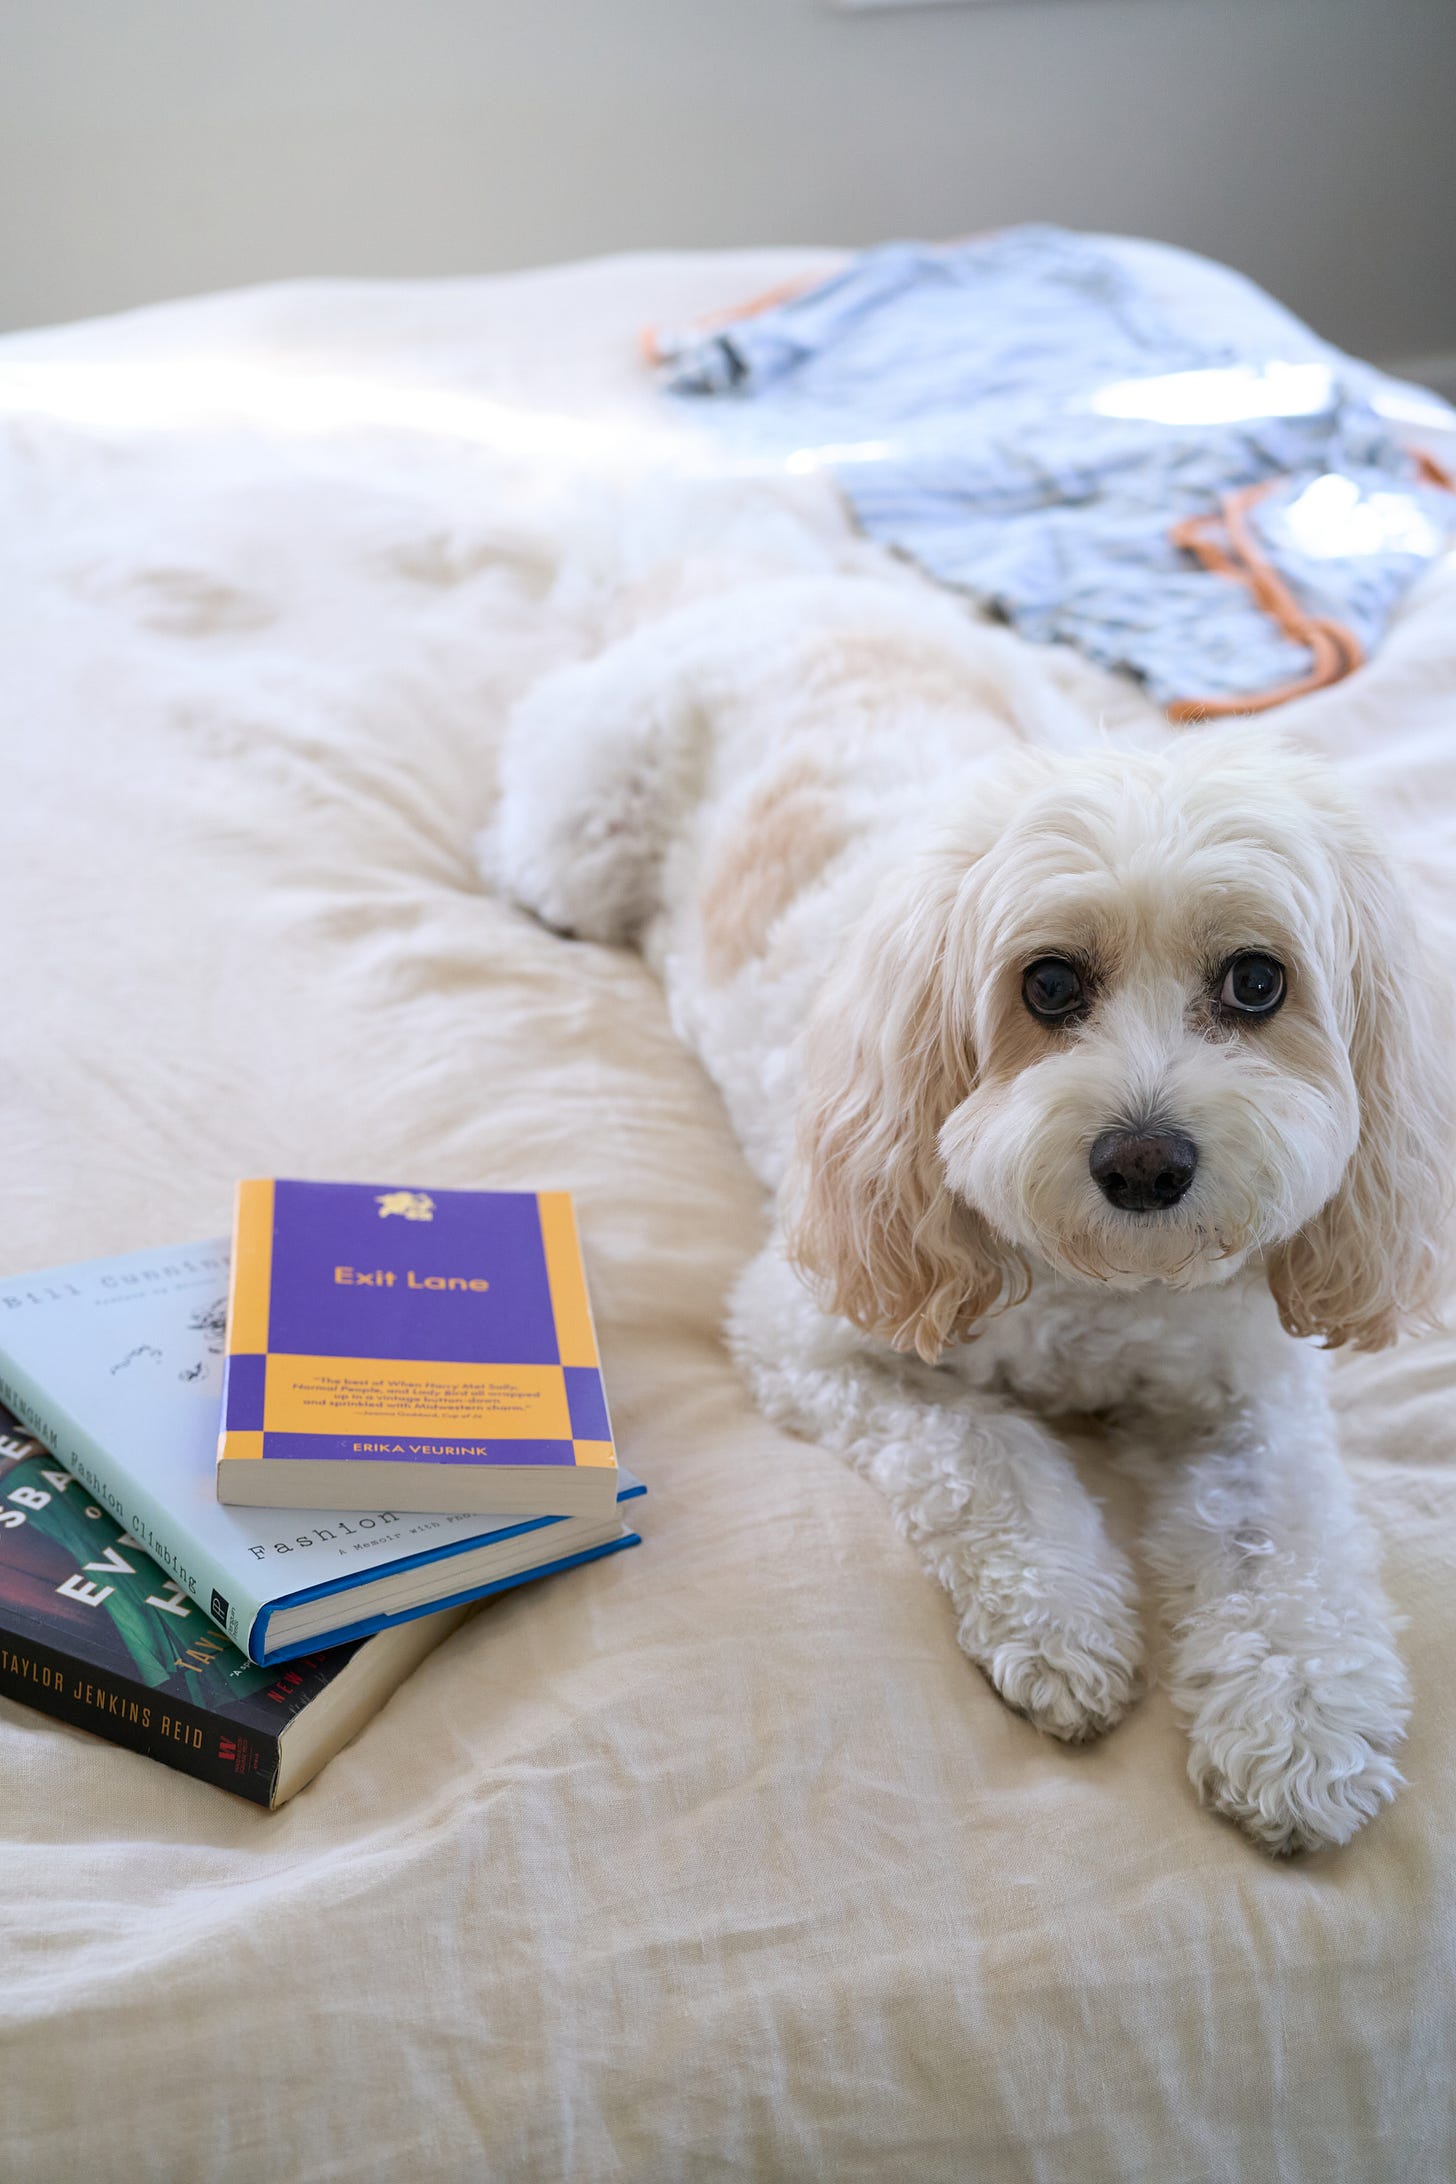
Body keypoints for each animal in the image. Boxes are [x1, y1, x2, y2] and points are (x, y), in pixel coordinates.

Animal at [485, 573, 1451, 1854]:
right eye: (1047, 984)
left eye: (1256, 982)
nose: (1144, 1160)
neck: (1106, 1280)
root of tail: (784, 582)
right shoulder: (822, 1336)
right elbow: (989, 1451)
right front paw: (1063, 1620)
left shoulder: (1254, 1391)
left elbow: (1280, 1543)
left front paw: (1298, 1717)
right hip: (583, 835)